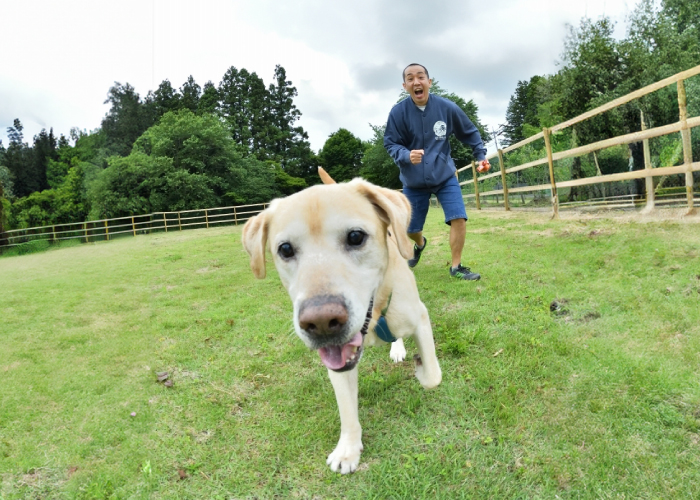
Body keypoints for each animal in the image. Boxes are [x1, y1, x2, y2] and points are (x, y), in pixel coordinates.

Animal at [241, 168, 438, 472]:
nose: (321, 323)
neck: (376, 315)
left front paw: (419, 366)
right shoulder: (337, 363)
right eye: (285, 249)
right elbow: (346, 410)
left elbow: (432, 377)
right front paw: (348, 450)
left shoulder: (420, 317)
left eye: (356, 236)